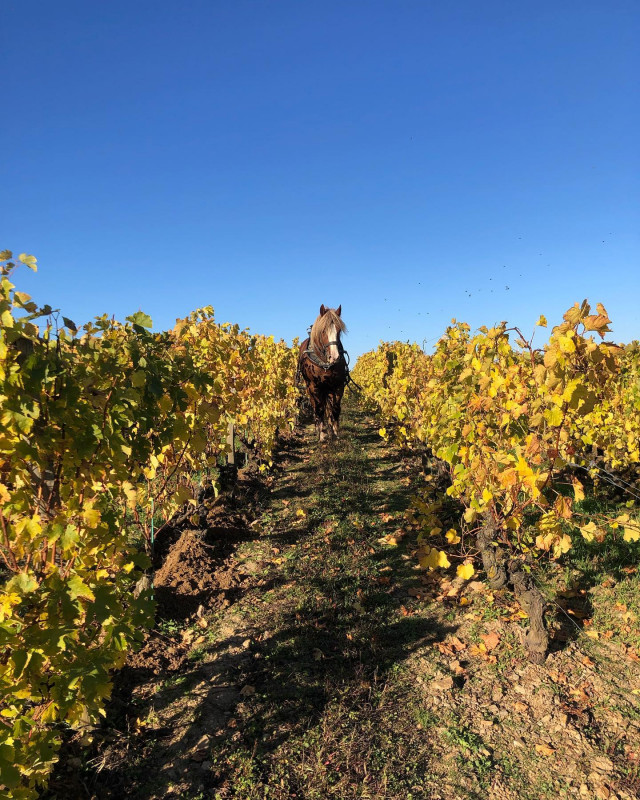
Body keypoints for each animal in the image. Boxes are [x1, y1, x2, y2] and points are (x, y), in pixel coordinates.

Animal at [298, 306, 348, 444]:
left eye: (339, 330)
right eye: (323, 330)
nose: (335, 357)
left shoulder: (338, 385)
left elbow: (335, 409)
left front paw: (335, 434)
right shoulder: (314, 386)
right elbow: (319, 409)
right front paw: (322, 435)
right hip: (310, 388)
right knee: (316, 407)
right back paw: (319, 429)